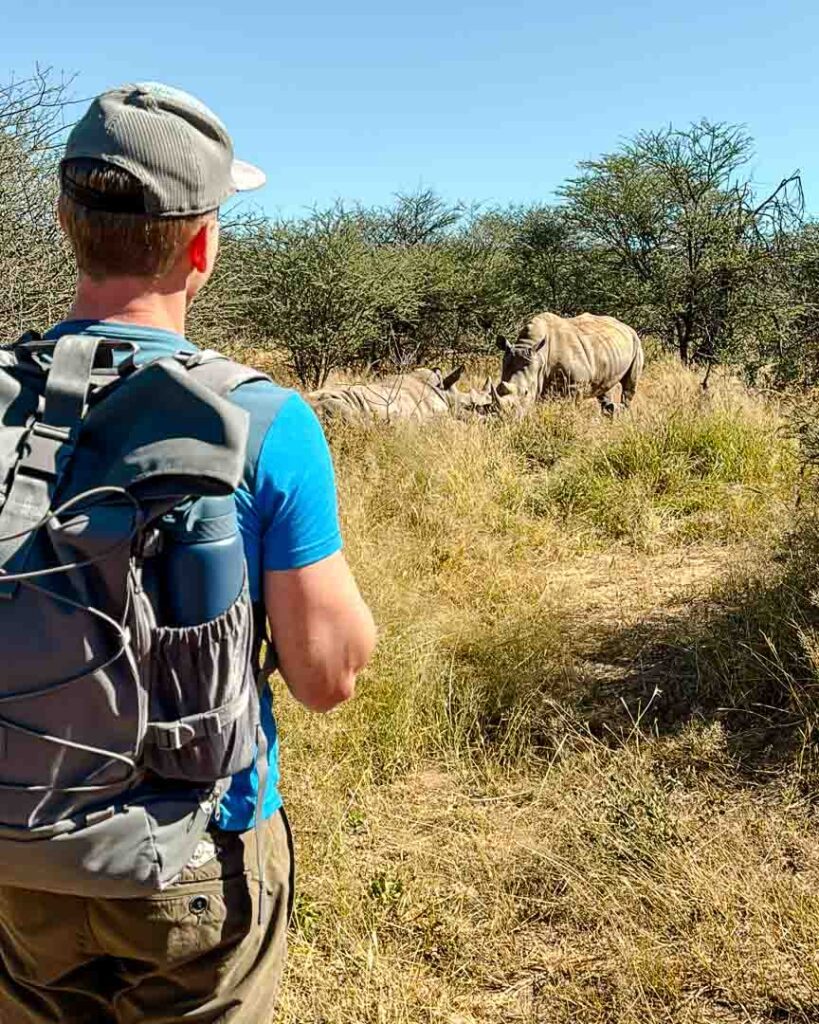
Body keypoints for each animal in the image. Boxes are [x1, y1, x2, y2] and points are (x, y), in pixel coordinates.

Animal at [493, 312, 644, 415]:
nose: (507, 418)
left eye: (525, 392)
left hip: (636, 342)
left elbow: (571, 407)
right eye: (498, 388)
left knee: (629, 385)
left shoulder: (576, 385)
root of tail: (626, 326)